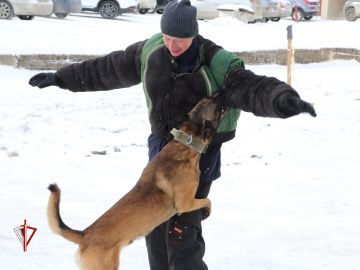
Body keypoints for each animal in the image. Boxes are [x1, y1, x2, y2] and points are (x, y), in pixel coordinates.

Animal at [46, 95, 224, 270]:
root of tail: (84, 235)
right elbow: (207, 200)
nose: (221, 92)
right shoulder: (185, 203)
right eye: (215, 105)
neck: (186, 144)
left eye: (207, 99)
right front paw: (207, 212)